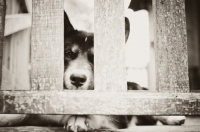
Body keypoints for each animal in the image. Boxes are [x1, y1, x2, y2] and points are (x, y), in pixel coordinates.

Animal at [0, 11, 185, 131]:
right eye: (68, 53)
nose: (77, 79)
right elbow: (21, 114)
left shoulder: (116, 115)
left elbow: (98, 113)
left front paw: (80, 118)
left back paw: (174, 117)